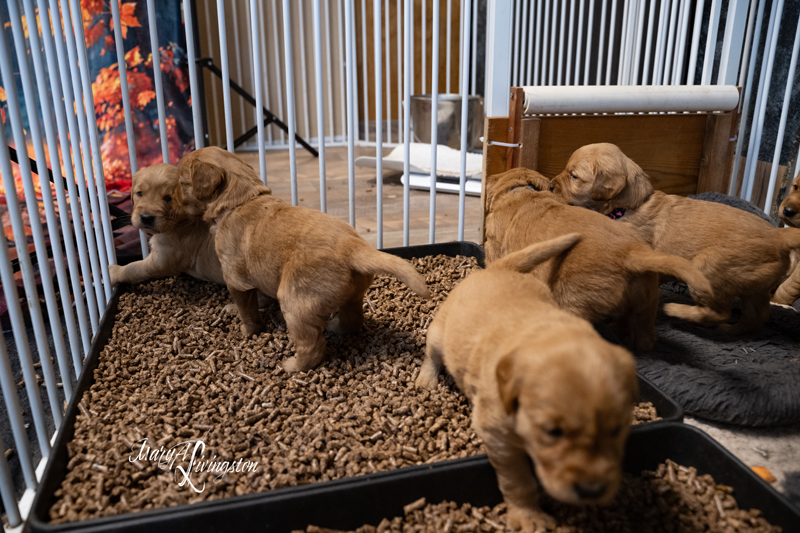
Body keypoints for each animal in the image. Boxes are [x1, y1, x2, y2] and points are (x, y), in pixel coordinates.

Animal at [178, 145, 432, 370]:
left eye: (180, 184)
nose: (172, 199)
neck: (241, 200)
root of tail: (352, 246)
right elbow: (258, 297)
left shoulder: (235, 278)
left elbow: (248, 311)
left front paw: (248, 330)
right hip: (353, 293)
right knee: (352, 321)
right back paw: (334, 326)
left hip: (295, 302)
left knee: (312, 346)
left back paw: (293, 366)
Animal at [418, 234, 636, 532]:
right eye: (553, 432)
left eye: (617, 430)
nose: (592, 491)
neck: (545, 334)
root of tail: (498, 268)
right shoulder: (498, 435)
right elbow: (518, 480)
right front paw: (529, 516)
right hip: (440, 333)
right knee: (432, 355)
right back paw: (425, 380)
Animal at [484, 166, 708, 350]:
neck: (526, 190)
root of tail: (632, 253)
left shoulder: (494, 248)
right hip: (646, 306)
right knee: (642, 340)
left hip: (574, 301)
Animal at [552, 141, 800, 332]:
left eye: (573, 176)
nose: (552, 185)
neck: (629, 206)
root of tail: (777, 235)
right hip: (755, 286)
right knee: (757, 316)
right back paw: (729, 330)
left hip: (708, 268)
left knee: (721, 311)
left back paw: (678, 311)